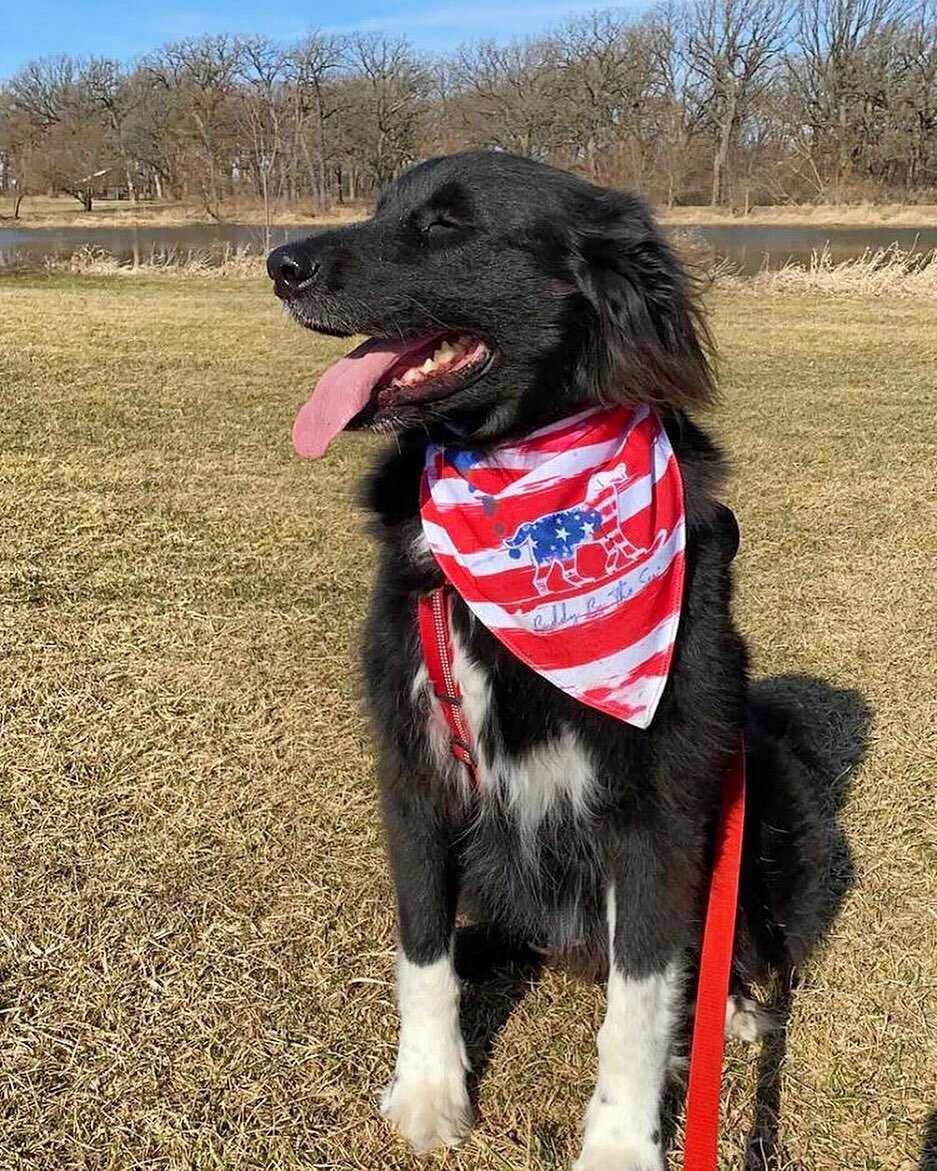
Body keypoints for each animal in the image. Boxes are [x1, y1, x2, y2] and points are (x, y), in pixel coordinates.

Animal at [267, 151, 824, 1166]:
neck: (519, 469)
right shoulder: (413, 767)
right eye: (380, 207)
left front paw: (619, 1143)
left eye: (446, 224)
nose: (279, 264)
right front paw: (429, 1092)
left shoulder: (660, 804)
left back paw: (727, 1007)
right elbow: (422, 949)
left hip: (766, 788)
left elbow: (638, 1002)